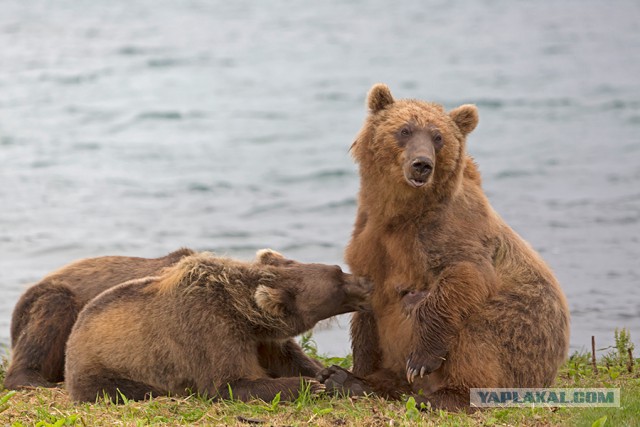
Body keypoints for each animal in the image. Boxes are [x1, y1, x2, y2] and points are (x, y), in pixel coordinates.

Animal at [64, 249, 370, 402]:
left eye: (337, 269)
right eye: (338, 282)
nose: (368, 282)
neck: (244, 314)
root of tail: (74, 331)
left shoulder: (262, 340)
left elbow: (291, 358)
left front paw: (331, 375)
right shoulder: (210, 329)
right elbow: (227, 383)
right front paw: (307, 385)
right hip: (107, 366)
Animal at [318, 84, 568, 412]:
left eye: (437, 136)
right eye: (405, 130)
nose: (422, 164)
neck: (401, 213)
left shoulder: (451, 233)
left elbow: (461, 277)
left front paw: (421, 360)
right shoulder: (372, 243)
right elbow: (368, 310)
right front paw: (358, 370)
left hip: (523, 337)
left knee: (478, 335)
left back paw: (443, 396)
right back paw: (345, 380)